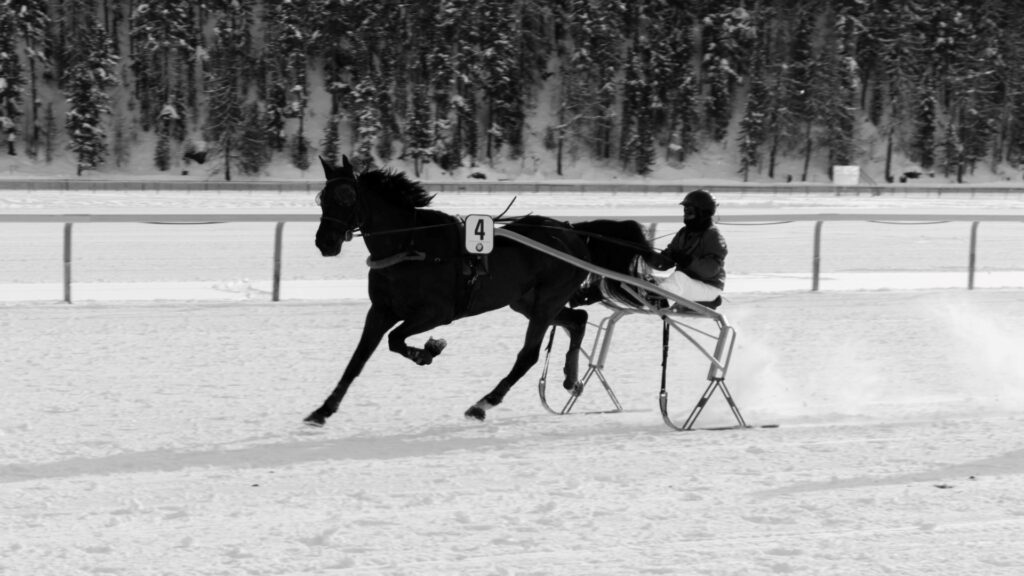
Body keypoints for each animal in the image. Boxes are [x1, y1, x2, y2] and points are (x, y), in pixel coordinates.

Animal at [304, 155, 652, 426]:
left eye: (347, 197)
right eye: (323, 198)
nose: (325, 242)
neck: (411, 246)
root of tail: (573, 231)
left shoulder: (437, 312)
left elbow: (396, 339)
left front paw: (428, 351)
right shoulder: (380, 310)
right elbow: (358, 359)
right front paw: (322, 410)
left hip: (547, 301)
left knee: (529, 354)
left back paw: (483, 403)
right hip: (527, 301)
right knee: (577, 319)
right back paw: (570, 378)